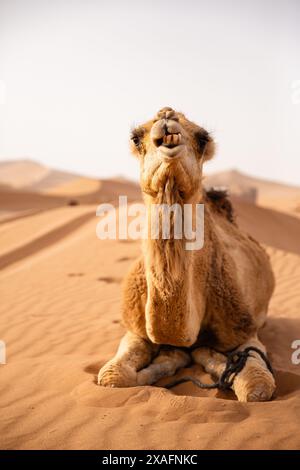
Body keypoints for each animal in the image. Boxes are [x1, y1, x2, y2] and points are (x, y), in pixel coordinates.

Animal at [97, 108, 276, 402]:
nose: (167, 118)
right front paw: (168, 360)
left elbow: (257, 388)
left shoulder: (244, 332)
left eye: (202, 138)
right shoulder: (135, 329)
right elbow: (112, 377)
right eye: (136, 138)